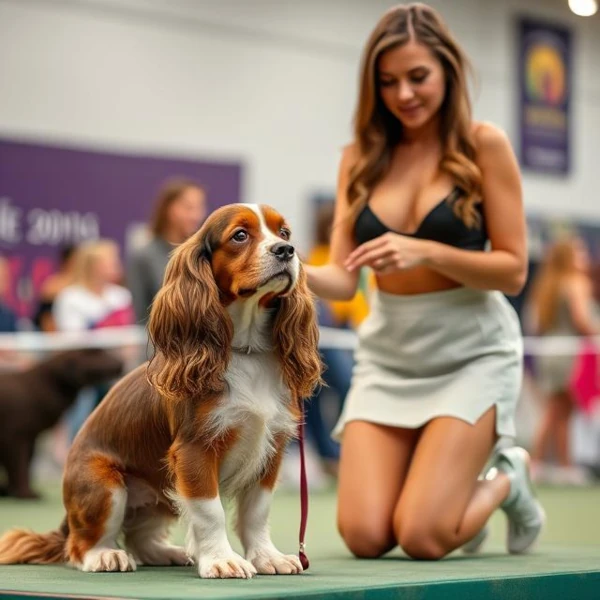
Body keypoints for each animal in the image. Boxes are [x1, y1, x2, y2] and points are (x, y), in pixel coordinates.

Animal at [0, 346, 123, 496]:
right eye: (94, 353)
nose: (121, 362)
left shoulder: (28, 438)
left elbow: (25, 466)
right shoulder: (15, 438)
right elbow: (19, 468)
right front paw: (26, 494)